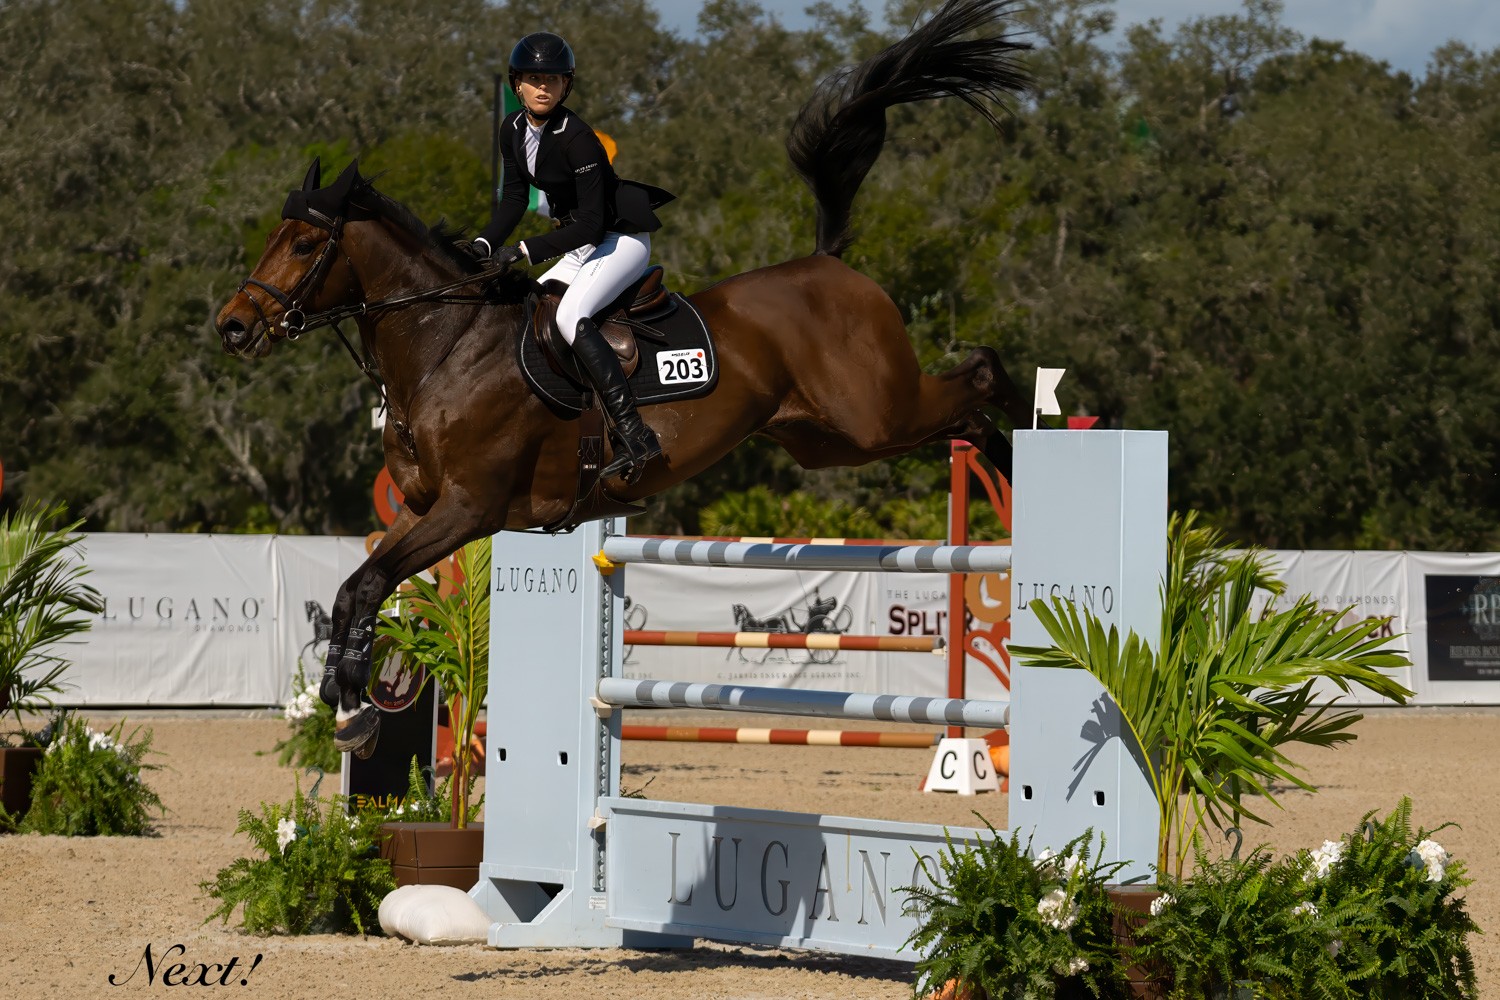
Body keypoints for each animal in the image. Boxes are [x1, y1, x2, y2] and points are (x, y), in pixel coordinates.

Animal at [214, 0, 1032, 757]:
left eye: (306, 244)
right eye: (277, 234)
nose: (233, 326)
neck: (446, 348)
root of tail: (829, 264)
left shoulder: (469, 508)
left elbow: (373, 584)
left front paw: (353, 707)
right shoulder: (420, 507)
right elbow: (357, 587)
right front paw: (347, 704)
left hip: (874, 413)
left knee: (977, 379)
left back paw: (1022, 441)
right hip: (829, 440)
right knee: (953, 413)